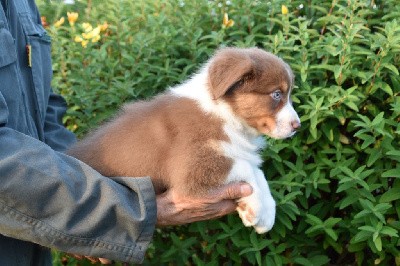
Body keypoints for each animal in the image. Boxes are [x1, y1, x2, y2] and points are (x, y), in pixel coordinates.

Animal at [67, 47, 300, 233]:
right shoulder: (191, 170)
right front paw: (257, 209)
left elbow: (258, 172)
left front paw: (266, 212)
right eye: (277, 94)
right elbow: (246, 167)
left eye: (287, 94)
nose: (297, 126)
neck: (225, 115)